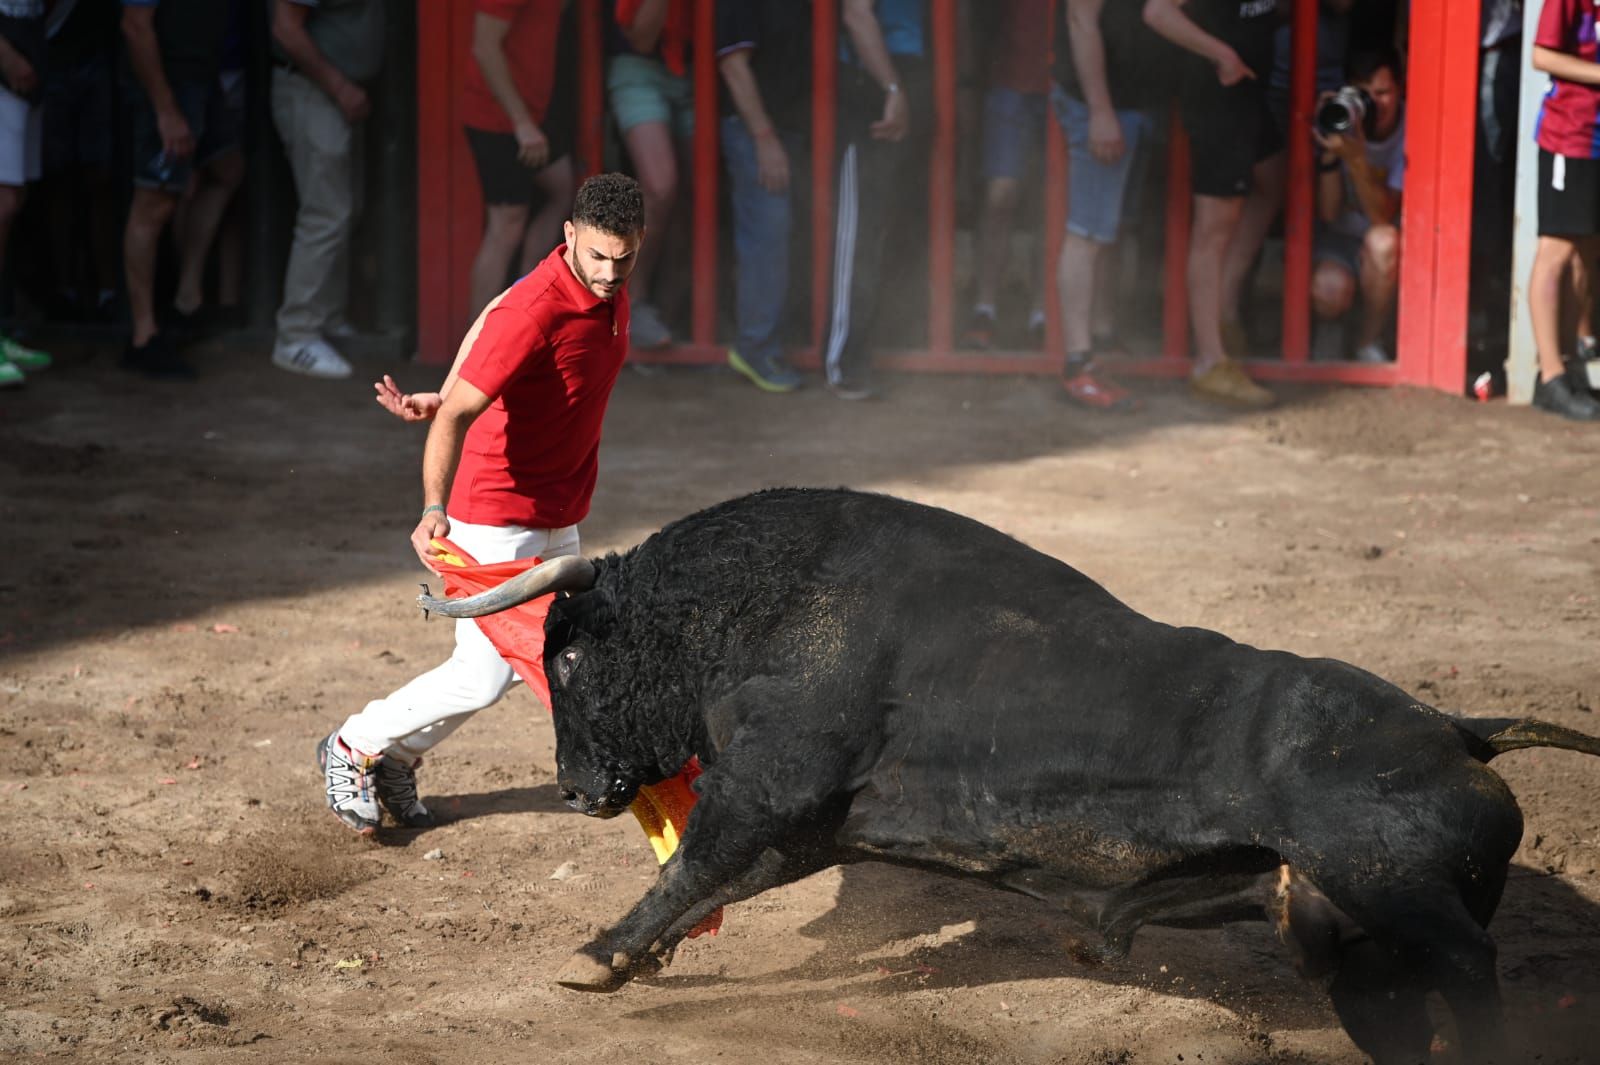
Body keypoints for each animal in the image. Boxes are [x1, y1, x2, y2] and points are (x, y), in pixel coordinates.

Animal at [419, 486, 1593, 1055]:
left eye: (571, 656)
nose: (573, 787)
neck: (760, 599)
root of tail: (1459, 730)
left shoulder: (770, 787)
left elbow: (691, 868)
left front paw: (596, 954)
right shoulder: (806, 824)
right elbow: (717, 880)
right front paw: (635, 960)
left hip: (1393, 891)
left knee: (1475, 965)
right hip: (1360, 957)